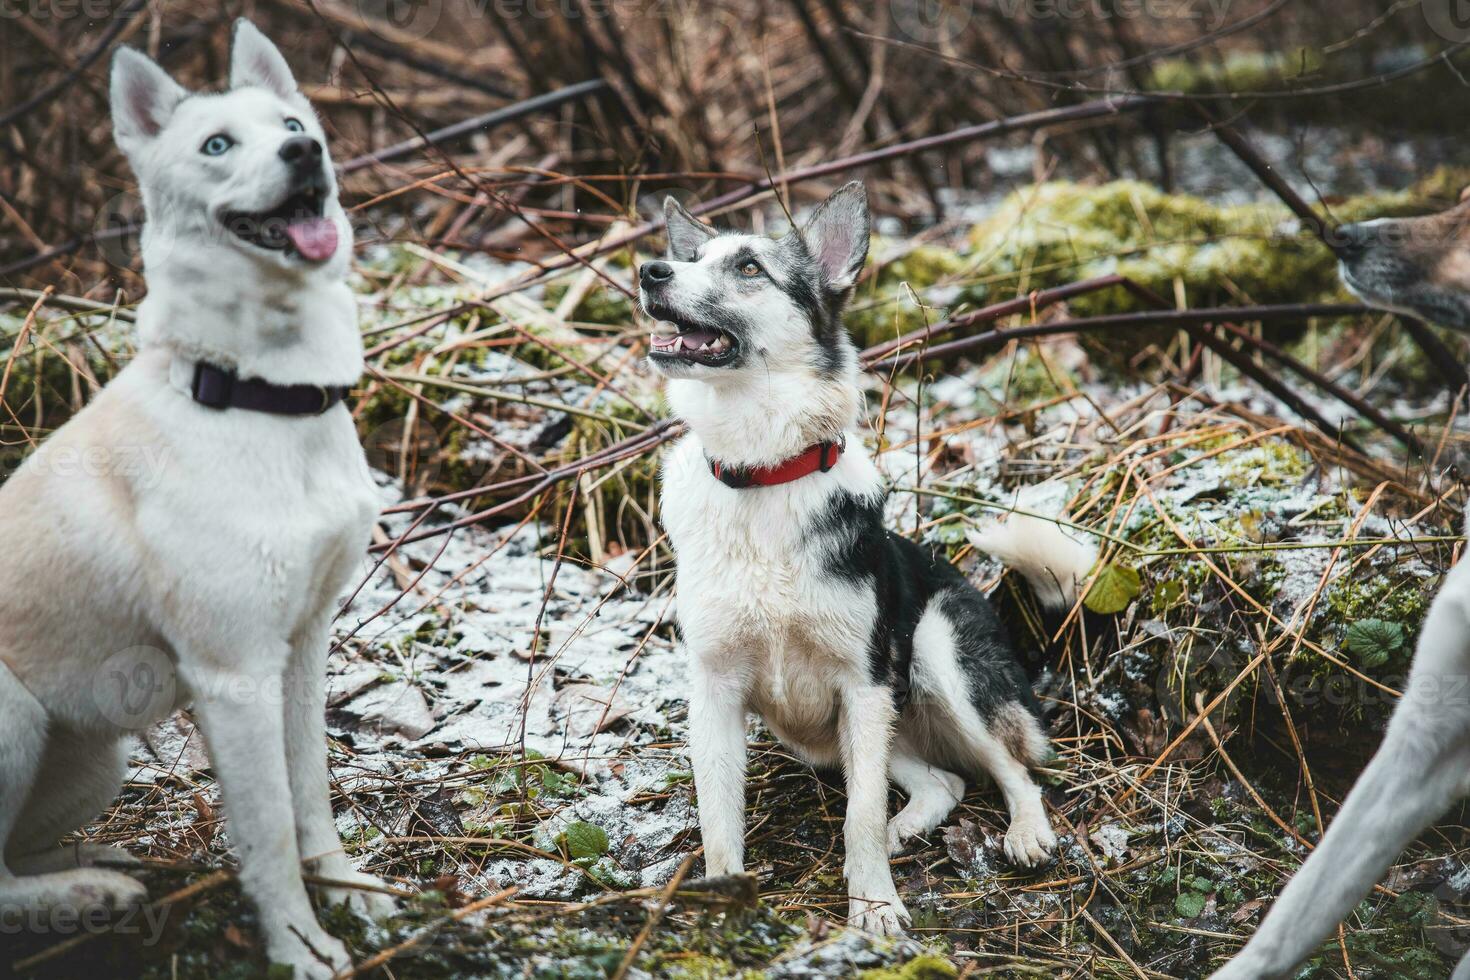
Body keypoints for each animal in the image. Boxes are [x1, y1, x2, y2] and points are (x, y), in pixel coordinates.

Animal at [0, 19, 393, 975]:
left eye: (293, 124)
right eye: (218, 145)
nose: (305, 152)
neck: (267, 395)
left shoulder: (303, 648)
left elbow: (311, 796)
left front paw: (347, 893)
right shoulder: (235, 676)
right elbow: (269, 830)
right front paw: (298, 944)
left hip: (95, 762)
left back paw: (98, 867)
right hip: (11, 713)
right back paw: (88, 893)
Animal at [637, 179, 1099, 940]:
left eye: (749, 268)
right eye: (692, 258)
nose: (650, 272)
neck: (763, 473)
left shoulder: (863, 682)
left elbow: (857, 815)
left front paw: (876, 907)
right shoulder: (717, 692)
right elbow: (718, 818)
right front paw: (725, 900)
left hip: (936, 661)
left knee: (1012, 769)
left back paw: (1024, 832)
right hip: (850, 732)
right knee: (942, 782)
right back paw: (903, 828)